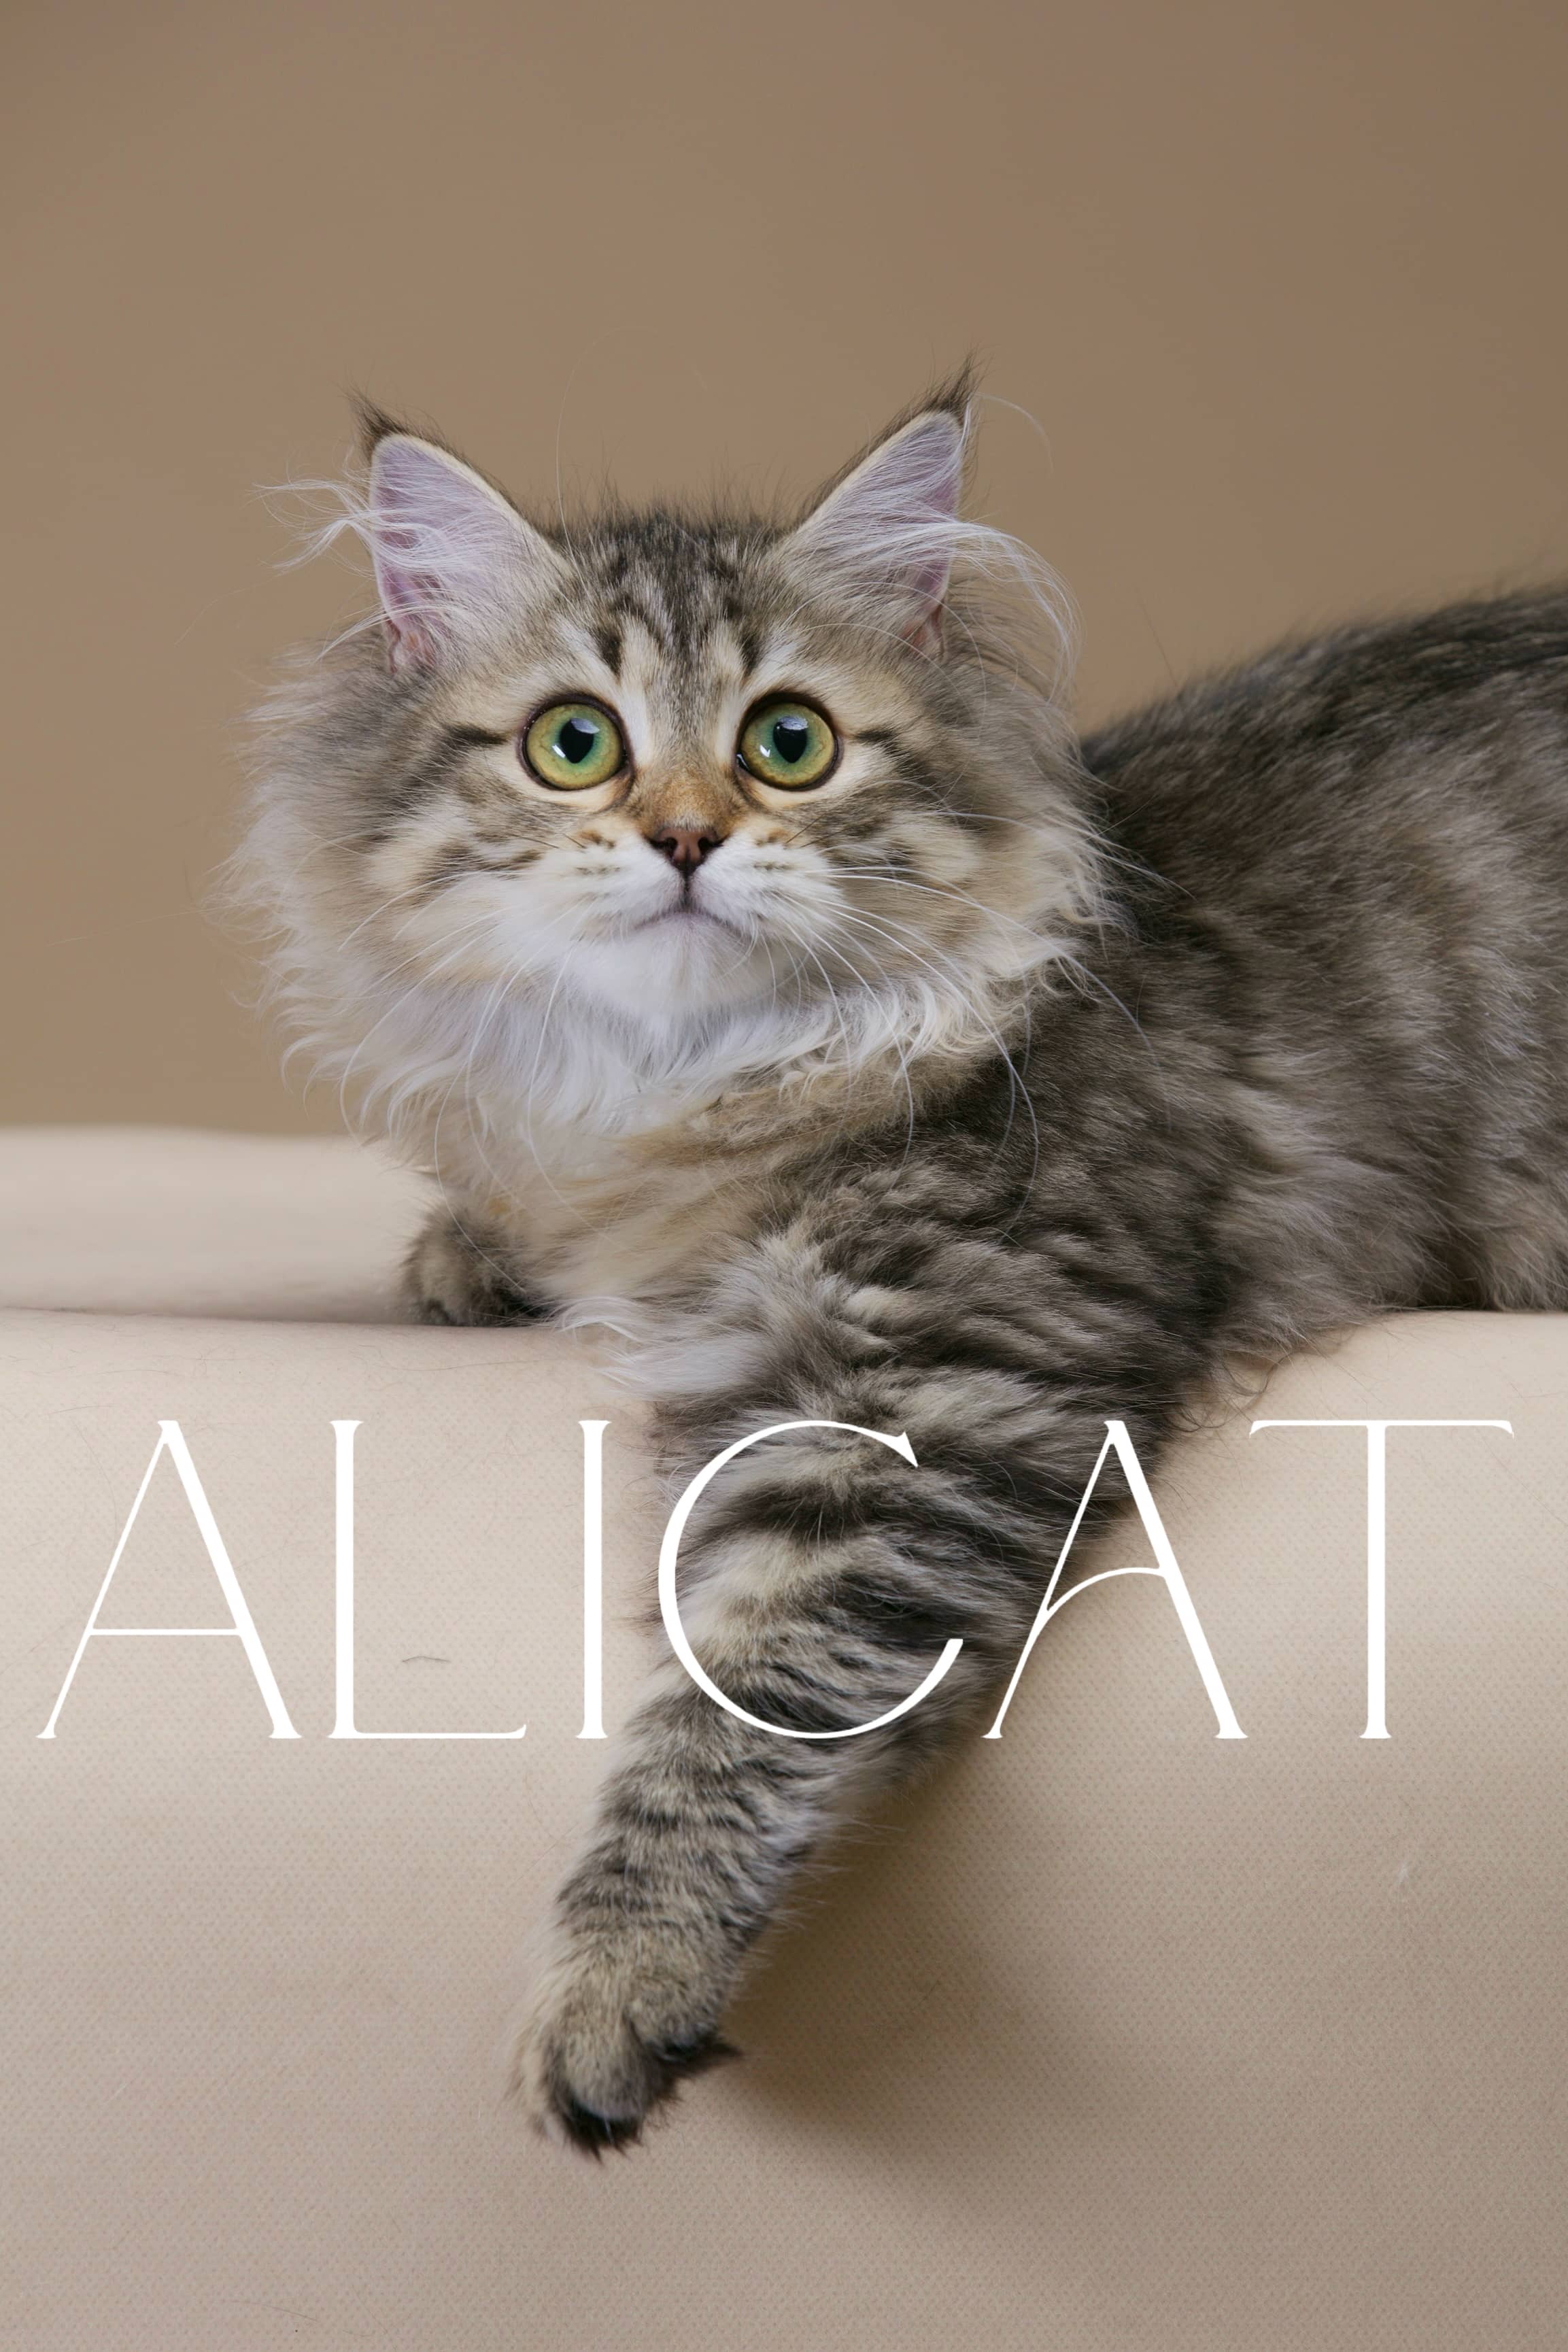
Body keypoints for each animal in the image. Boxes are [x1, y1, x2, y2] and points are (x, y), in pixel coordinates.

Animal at [236, 371, 1568, 2150]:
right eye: (574, 743)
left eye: (785, 743)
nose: (683, 837)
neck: (704, 1090)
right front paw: (476, 1247)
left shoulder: (928, 1390)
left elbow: (738, 1700)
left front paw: (615, 1984)